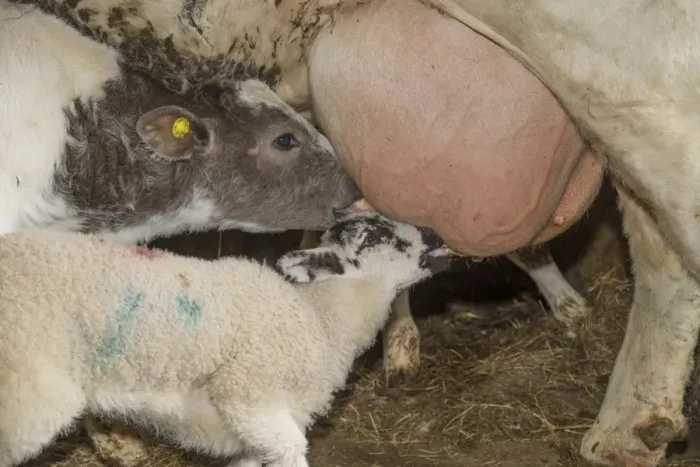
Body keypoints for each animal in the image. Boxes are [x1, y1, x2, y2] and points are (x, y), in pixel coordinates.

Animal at [0, 212, 450, 467]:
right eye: (372, 238)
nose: (436, 235)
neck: (318, 319)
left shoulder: (252, 434)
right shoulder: (248, 393)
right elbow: (292, 451)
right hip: (28, 385)